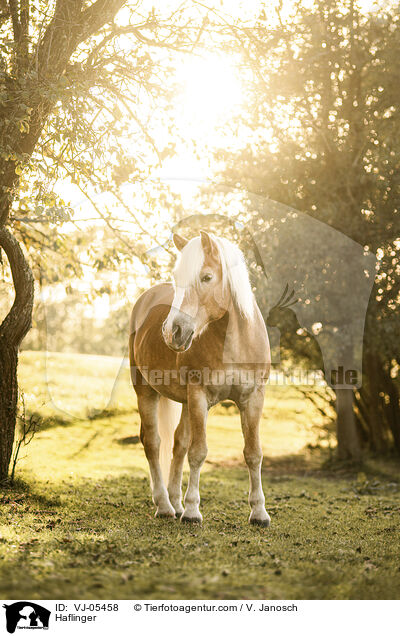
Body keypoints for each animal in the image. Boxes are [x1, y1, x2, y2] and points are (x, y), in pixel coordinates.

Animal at [130, 231, 270, 524]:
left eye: (206, 277)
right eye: (177, 277)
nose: (172, 332)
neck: (233, 342)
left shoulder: (253, 398)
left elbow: (253, 453)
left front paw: (259, 512)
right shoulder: (199, 396)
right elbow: (198, 452)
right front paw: (193, 510)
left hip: (183, 401)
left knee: (177, 444)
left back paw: (175, 502)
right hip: (146, 391)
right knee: (153, 443)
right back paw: (164, 505)